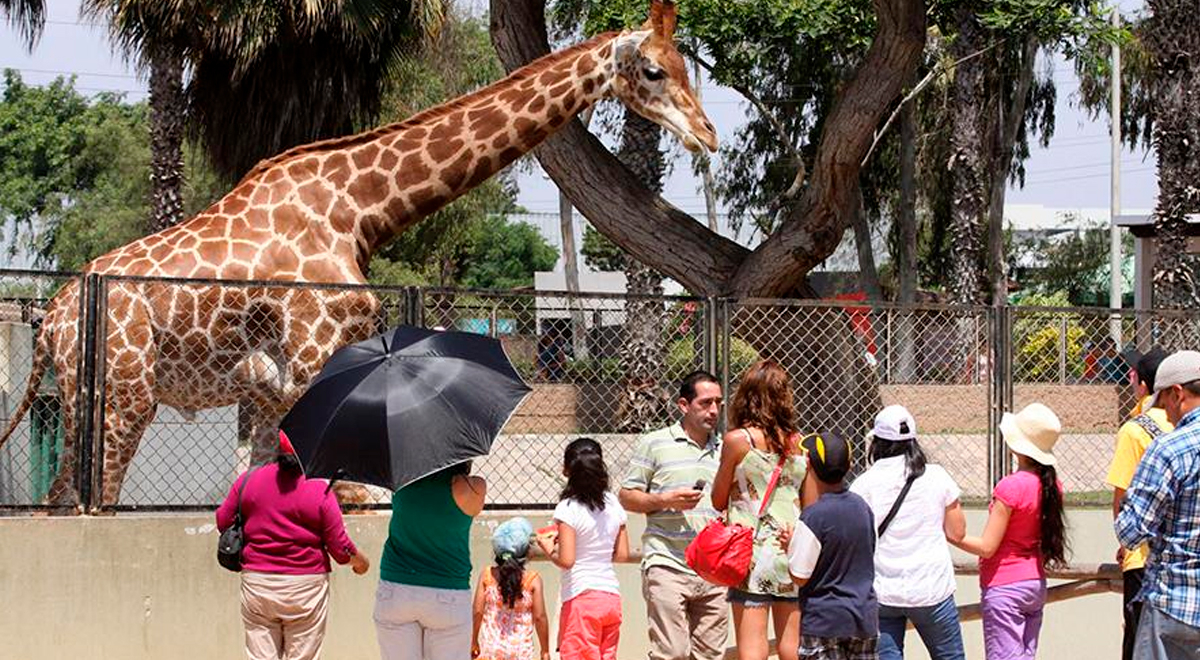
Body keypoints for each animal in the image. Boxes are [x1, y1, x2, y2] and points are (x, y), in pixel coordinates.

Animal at [0, 0, 715, 511]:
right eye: (653, 70)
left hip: (81, 397)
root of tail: (51, 318)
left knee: (60, 496)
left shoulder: (272, 386)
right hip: (124, 393)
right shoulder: (310, 356)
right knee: (89, 499)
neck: (359, 209)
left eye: (687, 66)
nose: (707, 134)